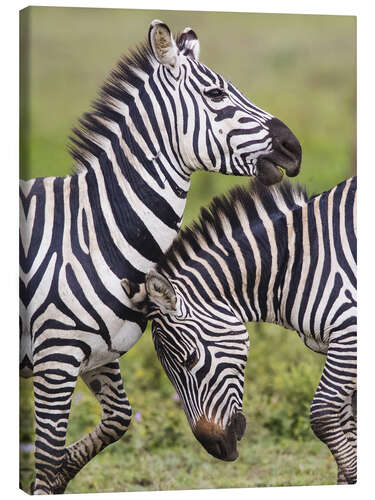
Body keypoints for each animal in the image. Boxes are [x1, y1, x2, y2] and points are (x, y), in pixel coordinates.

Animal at [19, 20, 302, 496]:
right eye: (216, 95)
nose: (293, 148)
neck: (94, 232)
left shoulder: (101, 352)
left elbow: (115, 422)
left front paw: (62, 473)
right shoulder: (55, 356)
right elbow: (48, 453)